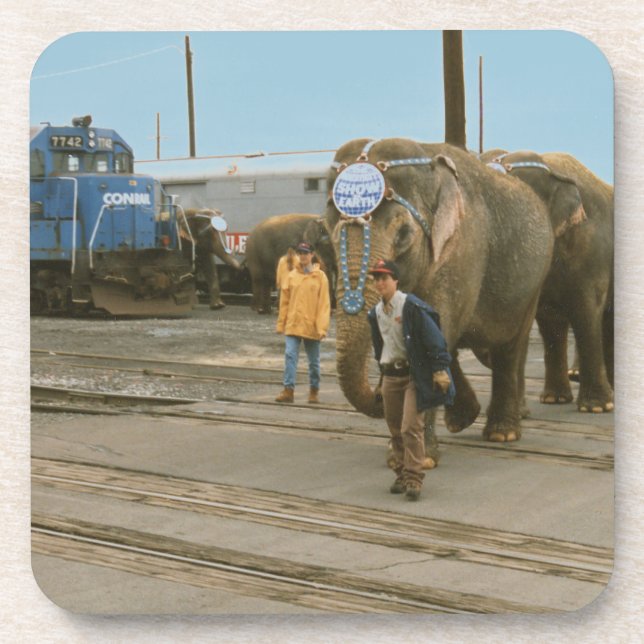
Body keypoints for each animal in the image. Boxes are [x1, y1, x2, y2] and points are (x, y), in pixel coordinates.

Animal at [324, 137, 554, 444]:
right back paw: (462, 421)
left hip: (535, 282)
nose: (379, 391)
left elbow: (439, 326)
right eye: (329, 230)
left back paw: (501, 434)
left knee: (509, 347)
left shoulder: (464, 248)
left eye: (403, 235)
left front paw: (420, 451)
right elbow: (434, 332)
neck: (428, 156)